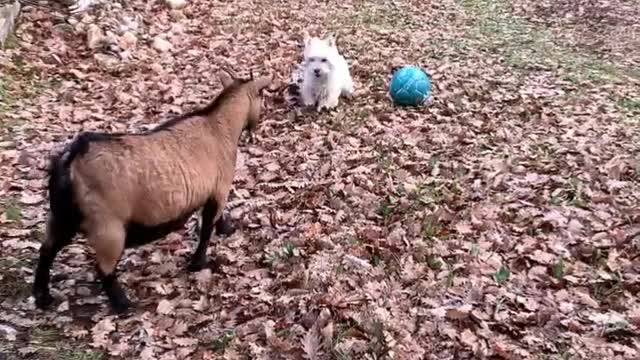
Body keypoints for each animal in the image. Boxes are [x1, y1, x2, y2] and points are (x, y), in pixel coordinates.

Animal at [32, 69, 272, 312]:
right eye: (262, 96)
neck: (219, 125)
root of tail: (71, 160)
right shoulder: (220, 188)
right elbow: (206, 229)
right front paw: (198, 263)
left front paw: (226, 229)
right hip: (108, 226)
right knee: (103, 268)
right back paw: (123, 305)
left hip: (62, 216)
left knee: (46, 250)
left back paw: (42, 297)